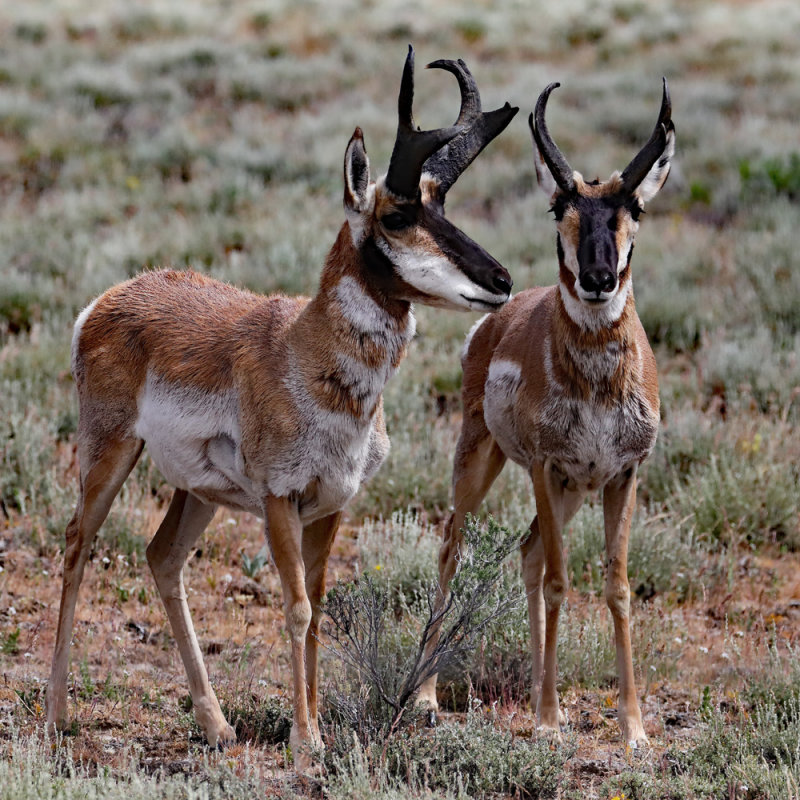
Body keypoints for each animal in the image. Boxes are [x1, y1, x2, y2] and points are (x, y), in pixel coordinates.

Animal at [47, 45, 516, 768]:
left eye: (444, 204)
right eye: (398, 214)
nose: (501, 279)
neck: (303, 350)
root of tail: (110, 299)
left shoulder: (332, 506)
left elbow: (318, 608)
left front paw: (314, 722)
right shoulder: (278, 501)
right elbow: (295, 607)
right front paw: (305, 736)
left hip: (198, 492)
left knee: (162, 557)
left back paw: (215, 724)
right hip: (109, 454)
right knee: (76, 544)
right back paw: (58, 715)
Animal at [418, 78, 676, 748]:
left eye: (635, 209)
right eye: (559, 206)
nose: (598, 277)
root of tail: (494, 322)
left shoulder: (621, 476)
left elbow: (617, 586)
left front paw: (633, 728)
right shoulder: (545, 467)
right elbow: (562, 581)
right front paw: (552, 720)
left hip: (570, 492)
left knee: (529, 552)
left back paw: (536, 691)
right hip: (482, 463)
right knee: (453, 547)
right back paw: (428, 698)